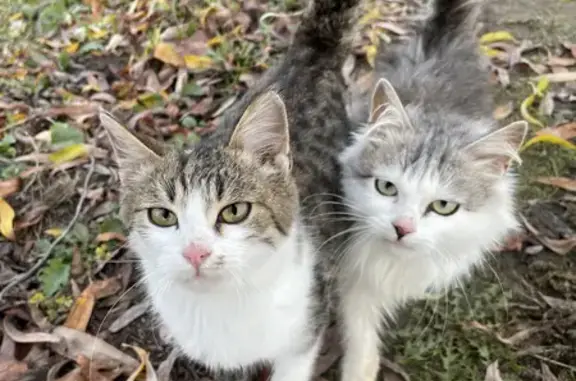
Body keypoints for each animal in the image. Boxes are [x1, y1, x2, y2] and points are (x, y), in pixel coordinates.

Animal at [99, 0, 360, 380]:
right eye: (162, 216)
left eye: (234, 211)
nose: (195, 253)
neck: (220, 306)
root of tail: (308, 55)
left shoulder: (304, 331)